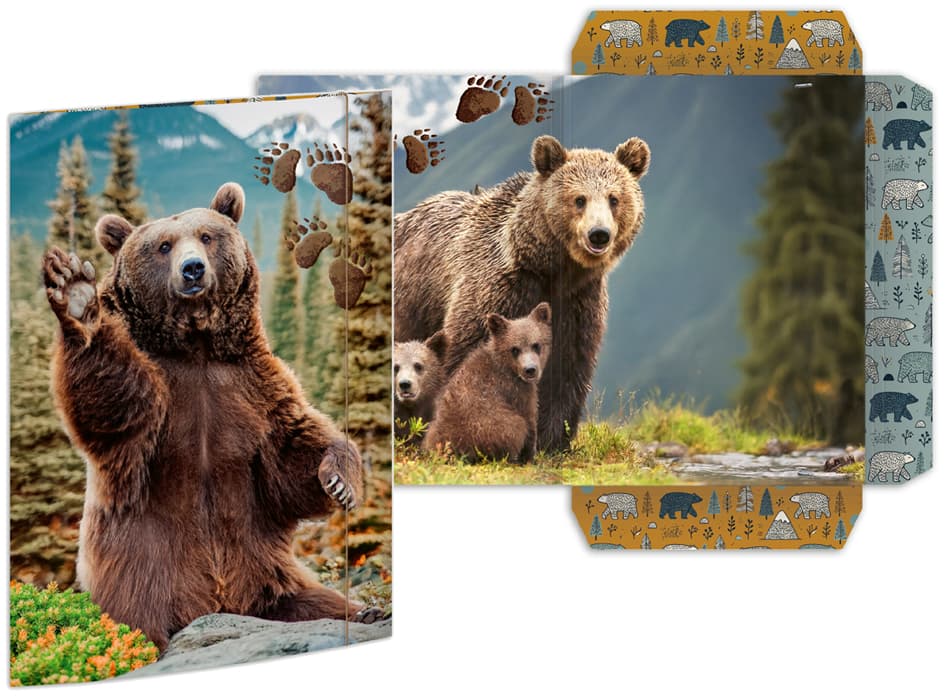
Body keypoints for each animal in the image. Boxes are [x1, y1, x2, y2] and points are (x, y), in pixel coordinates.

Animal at [42, 183, 378, 651]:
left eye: (206, 235)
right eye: (164, 245)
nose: (193, 270)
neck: (197, 346)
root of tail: (222, 605)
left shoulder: (253, 389)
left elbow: (291, 453)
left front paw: (339, 481)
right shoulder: (160, 403)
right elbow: (112, 403)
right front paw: (76, 294)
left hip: (268, 577)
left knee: (315, 602)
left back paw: (368, 611)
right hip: (141, 585)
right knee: (140, 625)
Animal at [422, 302, 552, 463]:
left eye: (536, 345)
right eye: (515, 349)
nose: (530, 370)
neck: (508, 367)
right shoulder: (517, 392)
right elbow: (530, 422)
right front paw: (531, 457)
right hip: (492, 425)